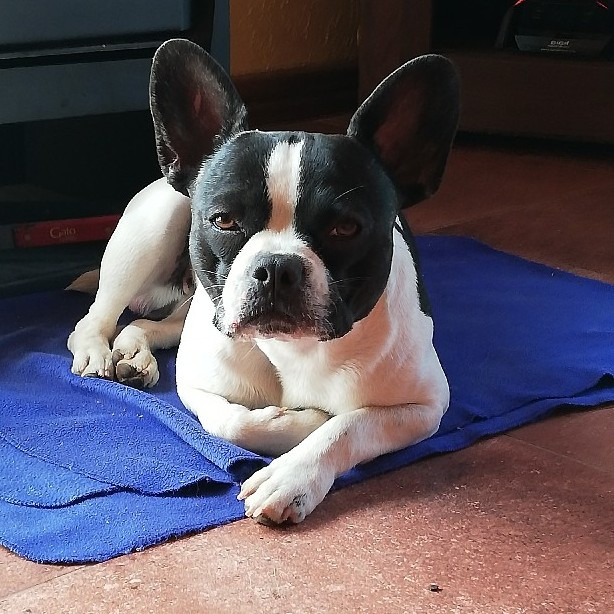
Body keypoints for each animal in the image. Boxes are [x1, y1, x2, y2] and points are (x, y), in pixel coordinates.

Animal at [67, 39, 460, 525]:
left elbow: (350, 424)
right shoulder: (196, 384)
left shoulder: (425, 406)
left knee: (148, 324)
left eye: (346, 228)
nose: (277, 267)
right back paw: (97, 351)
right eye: (224, 220)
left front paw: (292, 475)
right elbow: (234, 421)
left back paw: (135, 355)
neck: (293, 349)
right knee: (98, 316)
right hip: (154, 226)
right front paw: (303, 421)